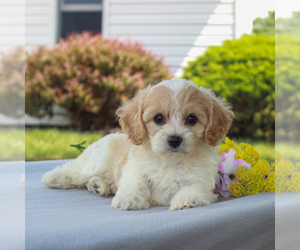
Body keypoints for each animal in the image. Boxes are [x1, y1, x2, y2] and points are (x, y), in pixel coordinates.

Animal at [42, 78, 234, 211]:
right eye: (158, 118)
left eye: (192, 119)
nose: (174, 139)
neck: (170, 161)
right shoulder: (135, 168)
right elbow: (135, 183)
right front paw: (128, 199)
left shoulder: (201, 180)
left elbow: (193, 189)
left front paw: (185, 201)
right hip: (96, 162)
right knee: (75, 171)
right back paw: (54, 177)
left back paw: (97, 185)